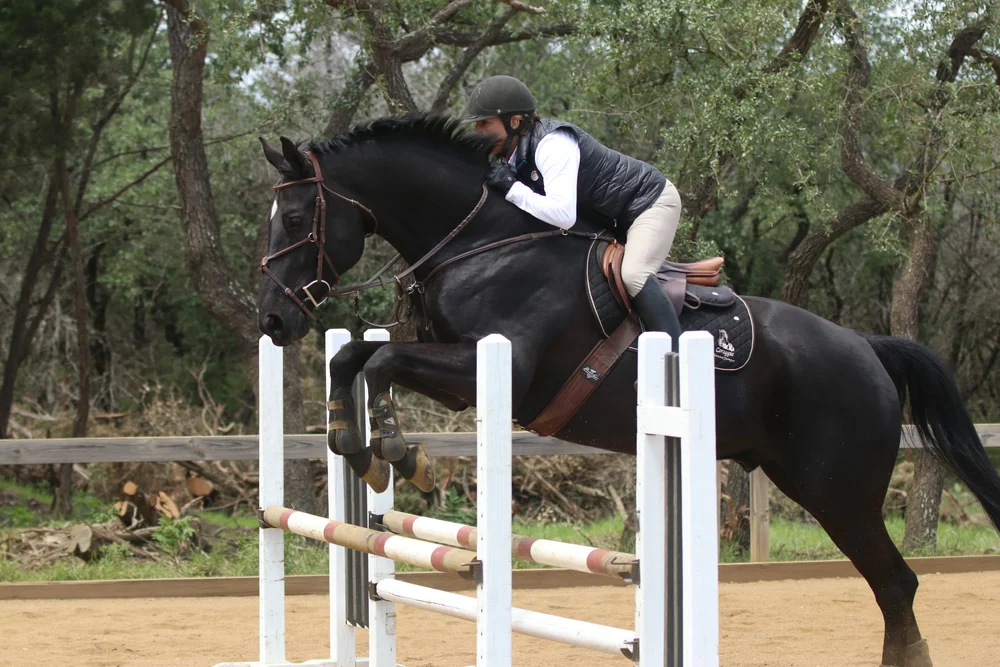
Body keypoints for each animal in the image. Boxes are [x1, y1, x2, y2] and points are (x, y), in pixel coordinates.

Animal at [256, 112, 1000, 667]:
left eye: (294, 220)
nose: (272, 321)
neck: (486, 243)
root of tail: (868, 347)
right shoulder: (451, 373)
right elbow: (353, 355)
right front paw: (352, 443)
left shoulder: (487, 372)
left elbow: (381, 363)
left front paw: (398, 453)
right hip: (806, 478)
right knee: (891, 582)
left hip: (838, 491)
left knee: (896, 582)